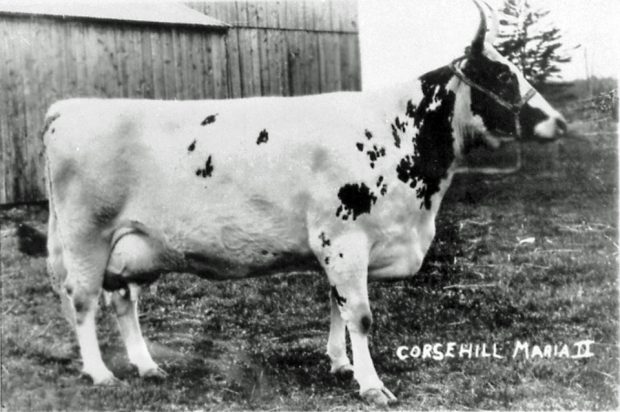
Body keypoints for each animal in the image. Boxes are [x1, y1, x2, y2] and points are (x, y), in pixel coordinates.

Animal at [41, 0, 568, 406]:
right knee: (83, 301)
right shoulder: (344, 238)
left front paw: (339, 363)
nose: (560, 123)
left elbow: (337, 304)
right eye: (500, 75)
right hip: (87, 236)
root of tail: (67, 107)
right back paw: (101, 373)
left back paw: (146, 365)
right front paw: (372, 386)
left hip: (128, 245)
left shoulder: (342, 247)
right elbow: (360, 315)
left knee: (122, 302)